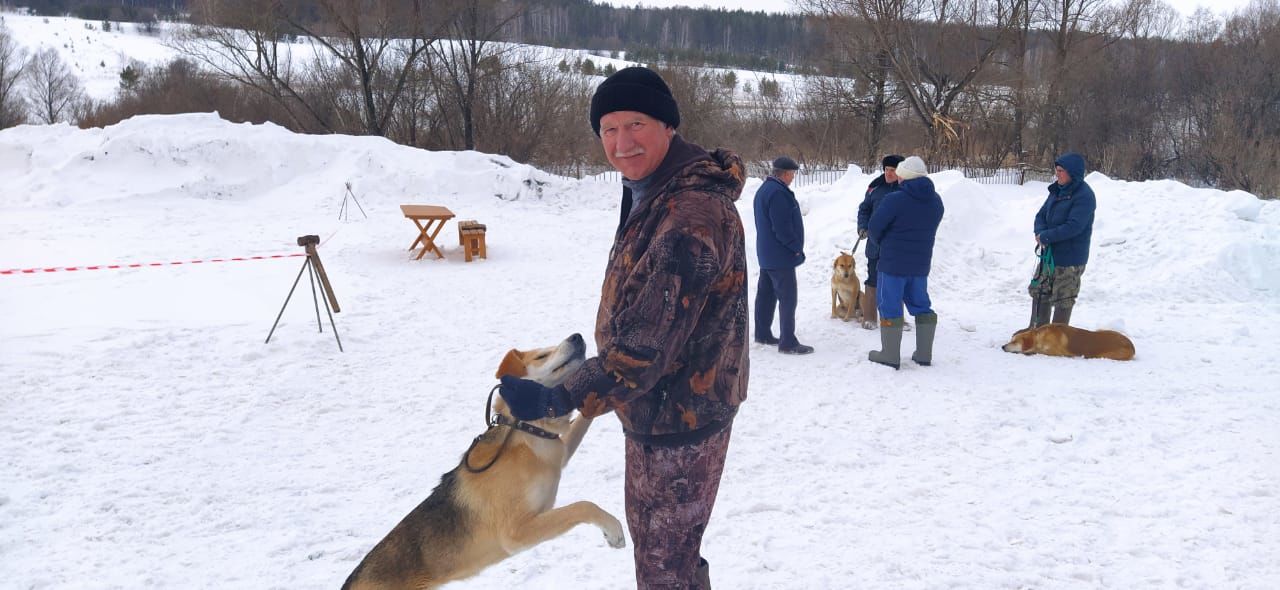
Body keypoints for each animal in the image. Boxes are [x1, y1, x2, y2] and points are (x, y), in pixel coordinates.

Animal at [337, 330, 622, 588]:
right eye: (542, 355)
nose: (577, 336)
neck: (525, 430)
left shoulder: (558, 453)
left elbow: (581, 424)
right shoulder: (516, 532)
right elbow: (583, 506)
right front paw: (613, 530)